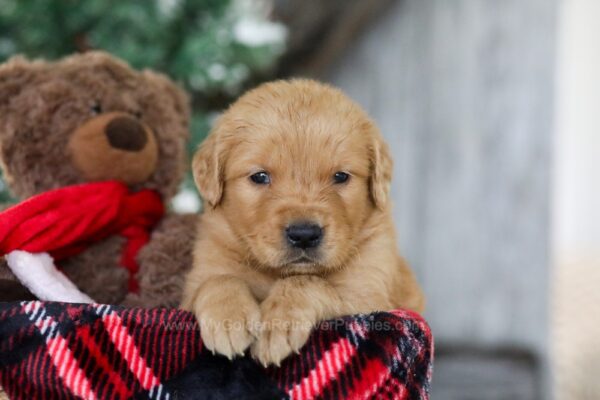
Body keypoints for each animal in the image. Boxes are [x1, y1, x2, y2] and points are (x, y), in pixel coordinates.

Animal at [180, 78, 424, 366]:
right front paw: (228, 319)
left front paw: (279, 323)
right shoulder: (199, 278)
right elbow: (218, 280)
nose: (304, 234)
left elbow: (309, 281)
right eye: (259, 176)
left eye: (341, 176)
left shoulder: (369, 295)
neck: (275, 273)